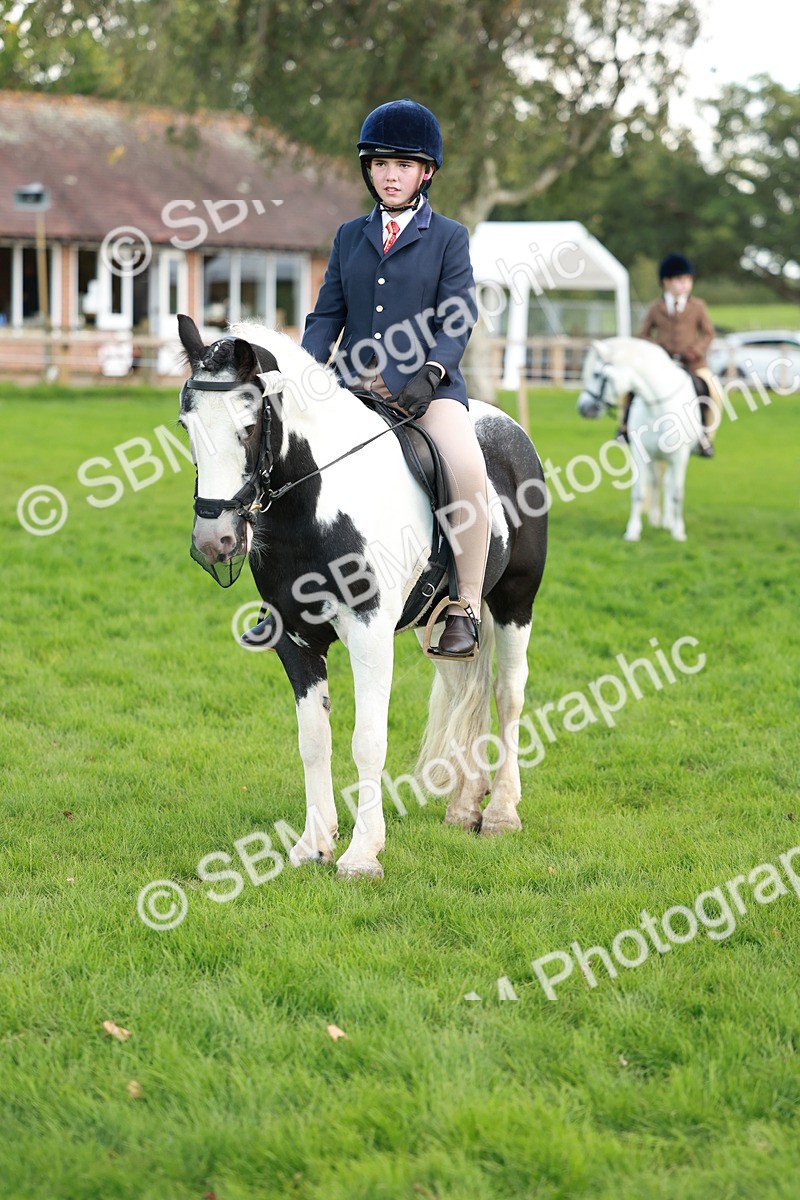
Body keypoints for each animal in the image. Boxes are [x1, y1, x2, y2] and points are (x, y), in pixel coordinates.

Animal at [176, 315, 547, 879]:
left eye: (248, 426)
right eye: (186, 427)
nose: (213, 541)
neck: (318, 500)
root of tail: (507, 426)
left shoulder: (371, 634)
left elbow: (367, 741)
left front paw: (362, 853)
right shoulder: (296, 639)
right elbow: (313, 741)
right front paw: (313, 844)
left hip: (514, 603)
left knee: (508, 695)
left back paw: (502, 810)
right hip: (437, 622)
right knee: (466, 689)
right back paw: (465, 807)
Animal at [576, 337, 707, 543]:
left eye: (596, 374)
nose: (582, 408)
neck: (657, 408)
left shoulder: (680, 457)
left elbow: (677, 494)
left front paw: (678, 531)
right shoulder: (640, 454)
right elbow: (639, 493)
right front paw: (633, 531)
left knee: (669, 485)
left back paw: (669, 521)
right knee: (656, 483)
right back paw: (656, 519)